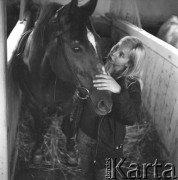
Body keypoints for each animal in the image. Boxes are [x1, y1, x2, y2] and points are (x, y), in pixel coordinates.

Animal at [8, 0, 112, 158]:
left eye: (98, 41)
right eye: (76, 48)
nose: (105, 103)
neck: (48, 80)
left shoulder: (68, 101)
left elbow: (66, 119)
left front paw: (69, 143)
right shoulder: (33, 104)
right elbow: (39, 124)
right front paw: (37, 149)